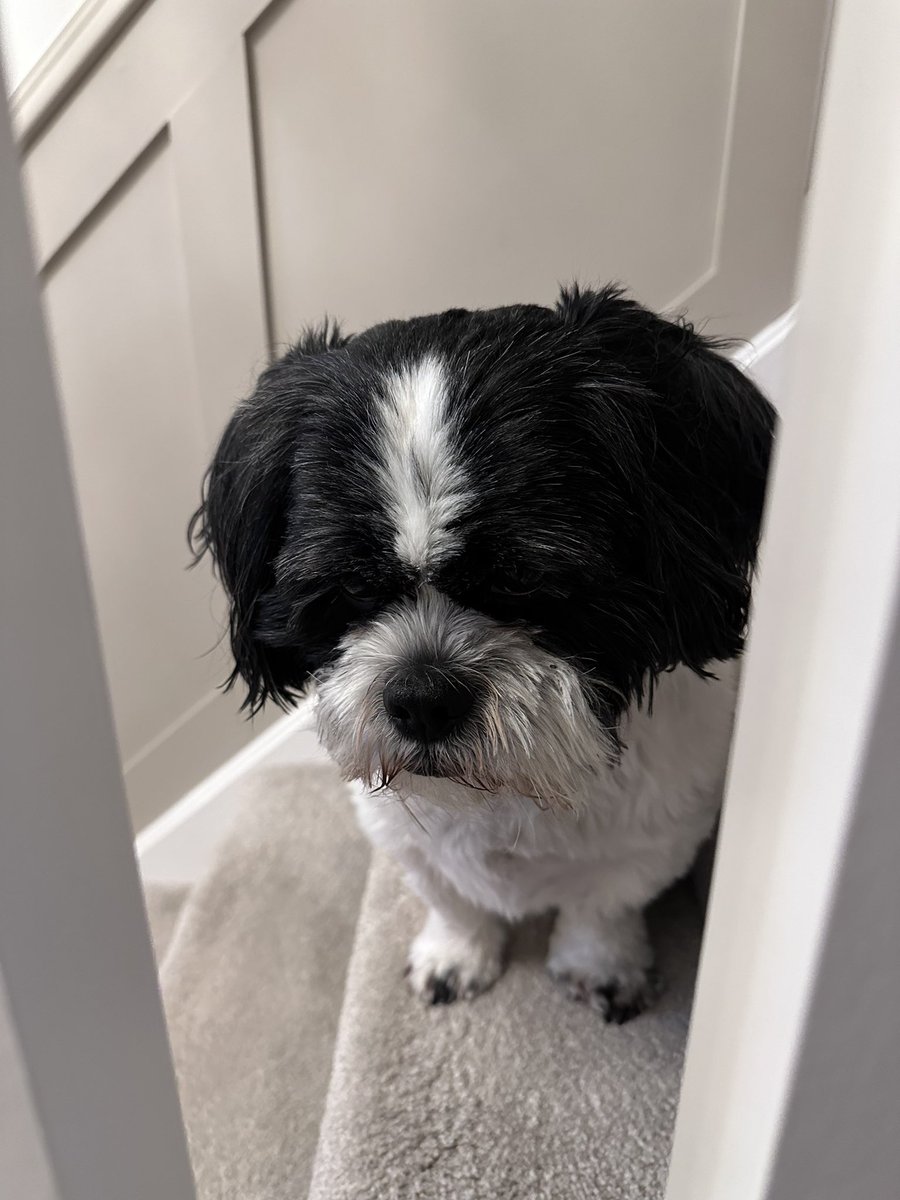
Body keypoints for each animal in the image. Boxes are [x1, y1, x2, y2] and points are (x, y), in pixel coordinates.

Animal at [190, 283, 777, 1022]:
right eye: (349, 589)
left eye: (525, 581)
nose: (421, 694)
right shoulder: (401, 838)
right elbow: (454, 900)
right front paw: (457, 955)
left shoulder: (657, 833)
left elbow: (602, 905)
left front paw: (602, 965)